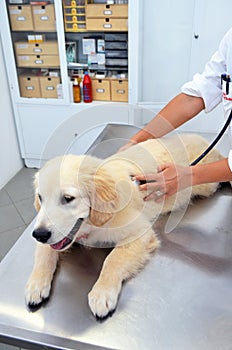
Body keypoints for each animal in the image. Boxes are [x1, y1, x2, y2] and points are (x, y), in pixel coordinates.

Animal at [24, 135, 223, 320]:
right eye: (40, 198)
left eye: (68, 198)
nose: (39, 234)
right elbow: (44, 255)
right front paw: (35, 284)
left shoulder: (140, 232)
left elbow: (112, 259)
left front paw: (102, 293)